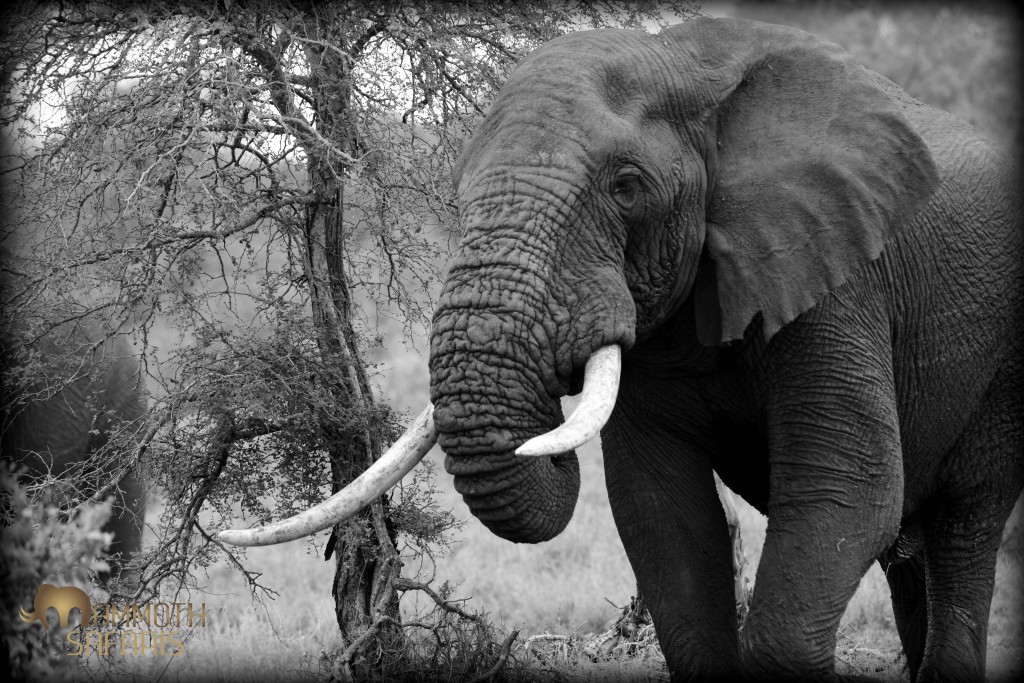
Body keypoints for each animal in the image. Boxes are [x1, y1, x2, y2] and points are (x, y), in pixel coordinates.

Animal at [219, 17, 1023, 682]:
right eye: (458, 190)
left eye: (627, 187)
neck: (687, 64)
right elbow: (662, 514)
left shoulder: (834, 274)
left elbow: (847, 492)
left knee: (964, 523)